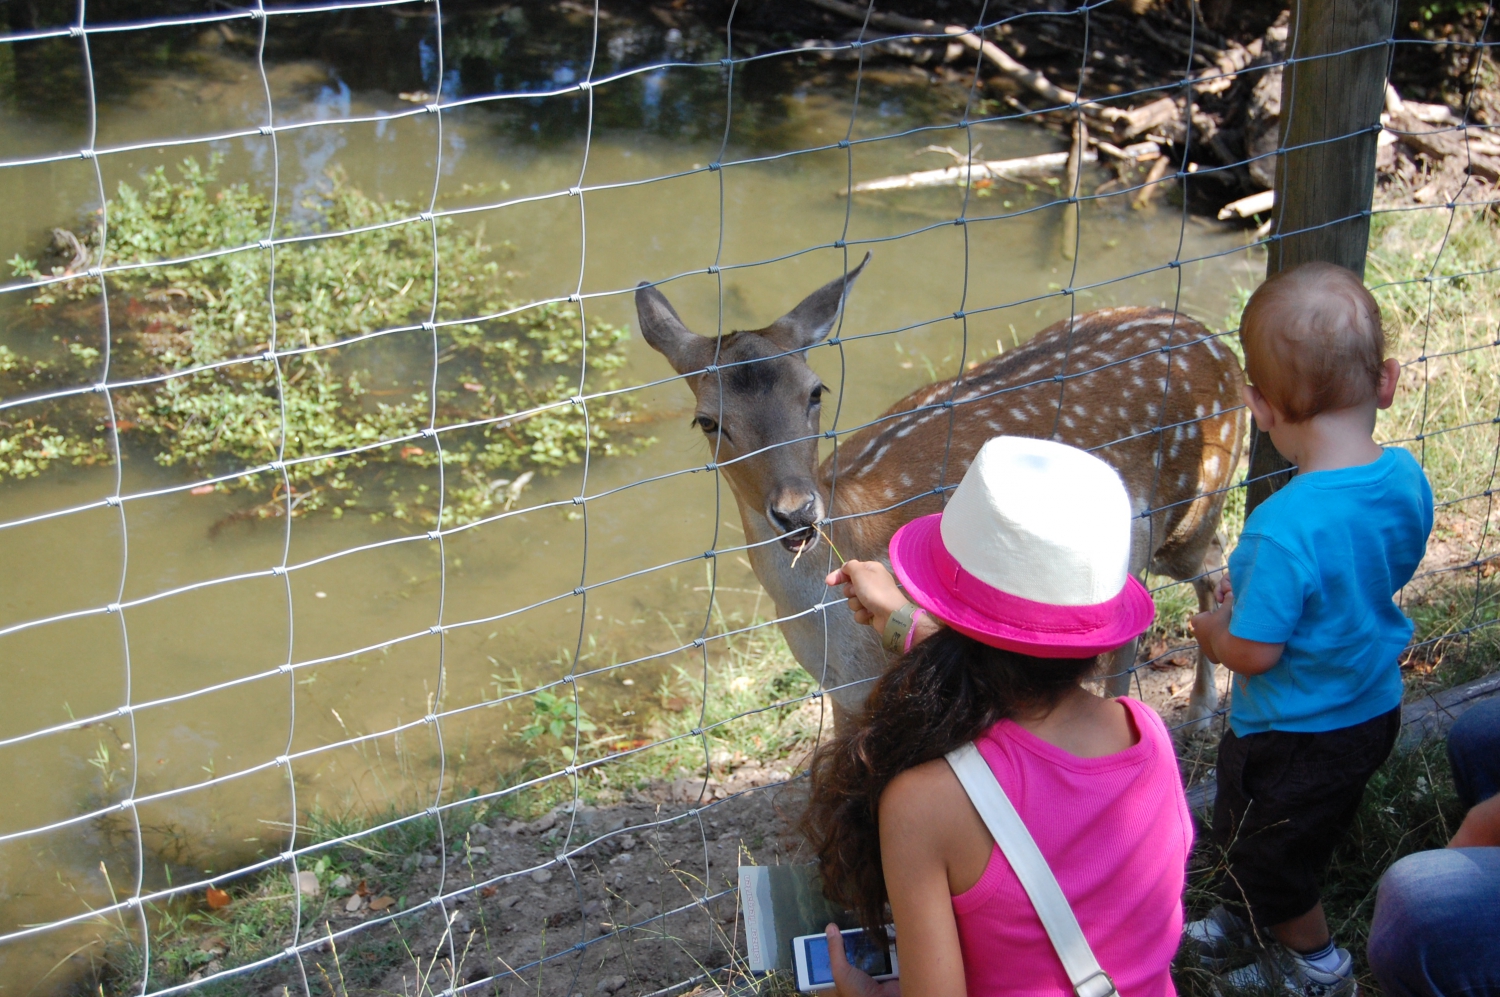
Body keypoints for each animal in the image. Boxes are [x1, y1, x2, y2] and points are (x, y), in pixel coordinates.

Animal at [639, 254, 1248, 722]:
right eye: (707, 421)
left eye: (816, 391)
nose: (796, 512)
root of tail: (1218, 342)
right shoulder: (844, 695)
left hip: (1194, 507)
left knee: (1215, 570)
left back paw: (1201, 710)